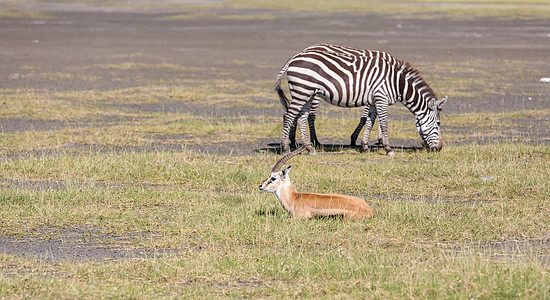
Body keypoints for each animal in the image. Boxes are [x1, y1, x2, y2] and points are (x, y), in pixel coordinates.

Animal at [274, 44, 448, 156]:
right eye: (438, 123)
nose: (439, 148)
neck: (397, 83)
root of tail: (295, 57)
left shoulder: (373, 101)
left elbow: (370, 121)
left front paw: (365, 147)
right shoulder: (381, 98)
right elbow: (383, 123)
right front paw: (388, 149)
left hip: (308, 93)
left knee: (301, 117)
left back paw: (309, 148)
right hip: (303, 91)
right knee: (289, 115)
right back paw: (287, 147)